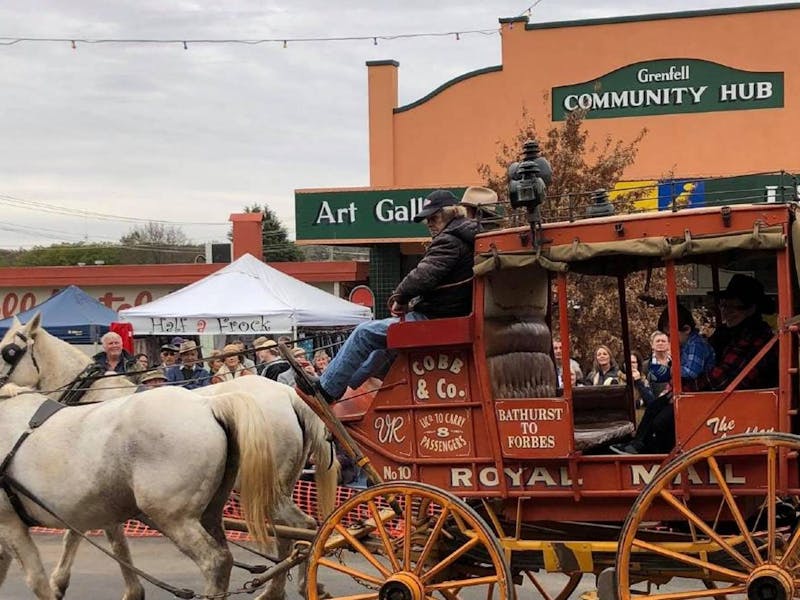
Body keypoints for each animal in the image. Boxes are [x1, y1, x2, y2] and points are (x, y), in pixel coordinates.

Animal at [0, 382, 278, 596]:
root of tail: (207, 405)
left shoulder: (10, 524)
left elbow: (36, 580)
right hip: (209, 513)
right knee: (224, 556)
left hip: (175, 518)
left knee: (215, 561)